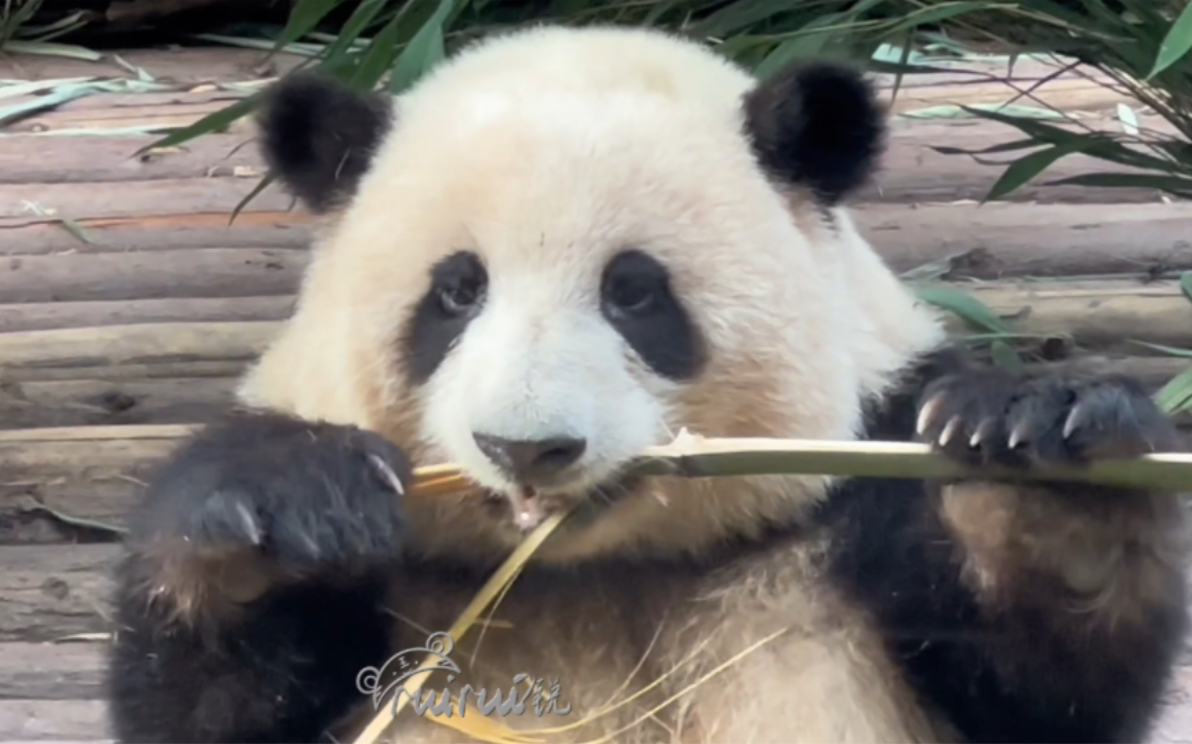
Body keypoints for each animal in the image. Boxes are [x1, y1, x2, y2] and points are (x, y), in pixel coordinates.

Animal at [104, 23, 1192, 744]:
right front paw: (283, 506)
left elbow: (1048, 683)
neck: (586, 568)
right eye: (455, 292)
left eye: (634, 292)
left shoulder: (860, 475)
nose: (526, 448)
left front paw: (1038, 458)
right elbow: (202, 704)